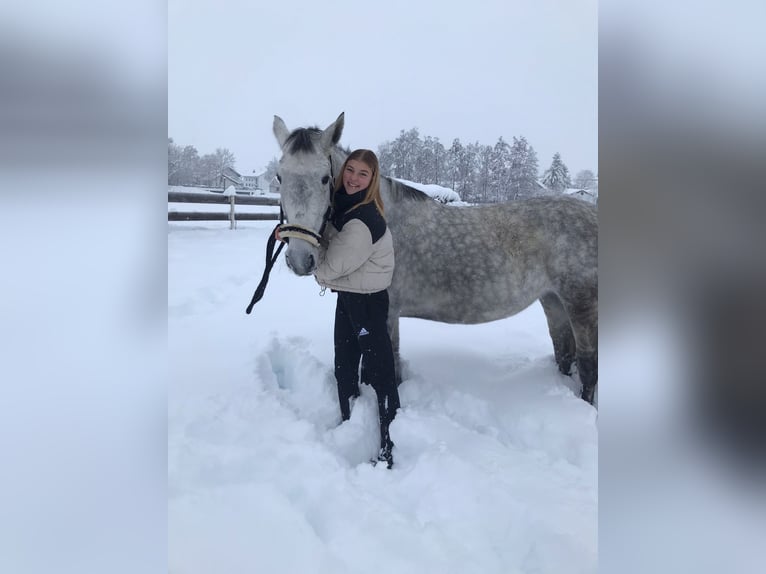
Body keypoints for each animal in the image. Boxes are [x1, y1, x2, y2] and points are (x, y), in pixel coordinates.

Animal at [272, 112, 600, 404]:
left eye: (324, 178)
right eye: (279, 176)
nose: (300, 259)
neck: (382, 219)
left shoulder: (386, 315)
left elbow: (386, 371)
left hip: (581, 304)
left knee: (588, 366)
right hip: (553, 300)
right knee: (564, 352)